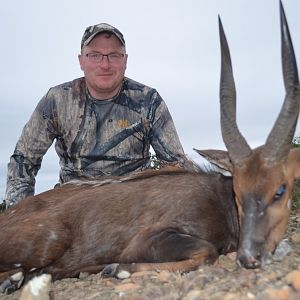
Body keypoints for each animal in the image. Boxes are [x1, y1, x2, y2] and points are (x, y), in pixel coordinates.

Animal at [0, 0, 298, 294]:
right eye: (237, 189)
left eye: (280, 190)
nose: (249, 257)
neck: (220, 201)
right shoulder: (148, 238)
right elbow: (206, 252)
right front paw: (116, 268)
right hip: (49, 242)